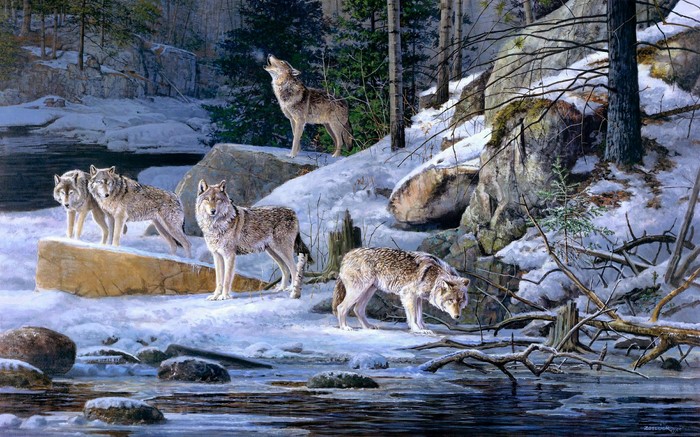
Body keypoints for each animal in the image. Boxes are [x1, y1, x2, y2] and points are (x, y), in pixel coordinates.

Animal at [332, 247, 470, 335]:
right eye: (450, 300)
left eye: (460, 301)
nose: (457, 316)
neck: (434, 277)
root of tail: (347, 255)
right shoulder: (408, 294)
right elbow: (413, 317)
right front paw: (418, 330)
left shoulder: (417, 297)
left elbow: (419, 316)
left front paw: (423, 328)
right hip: (359, 291)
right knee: (341, 307)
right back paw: (345, 327)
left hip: (369, 291)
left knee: (357, 309)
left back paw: (368, 327)